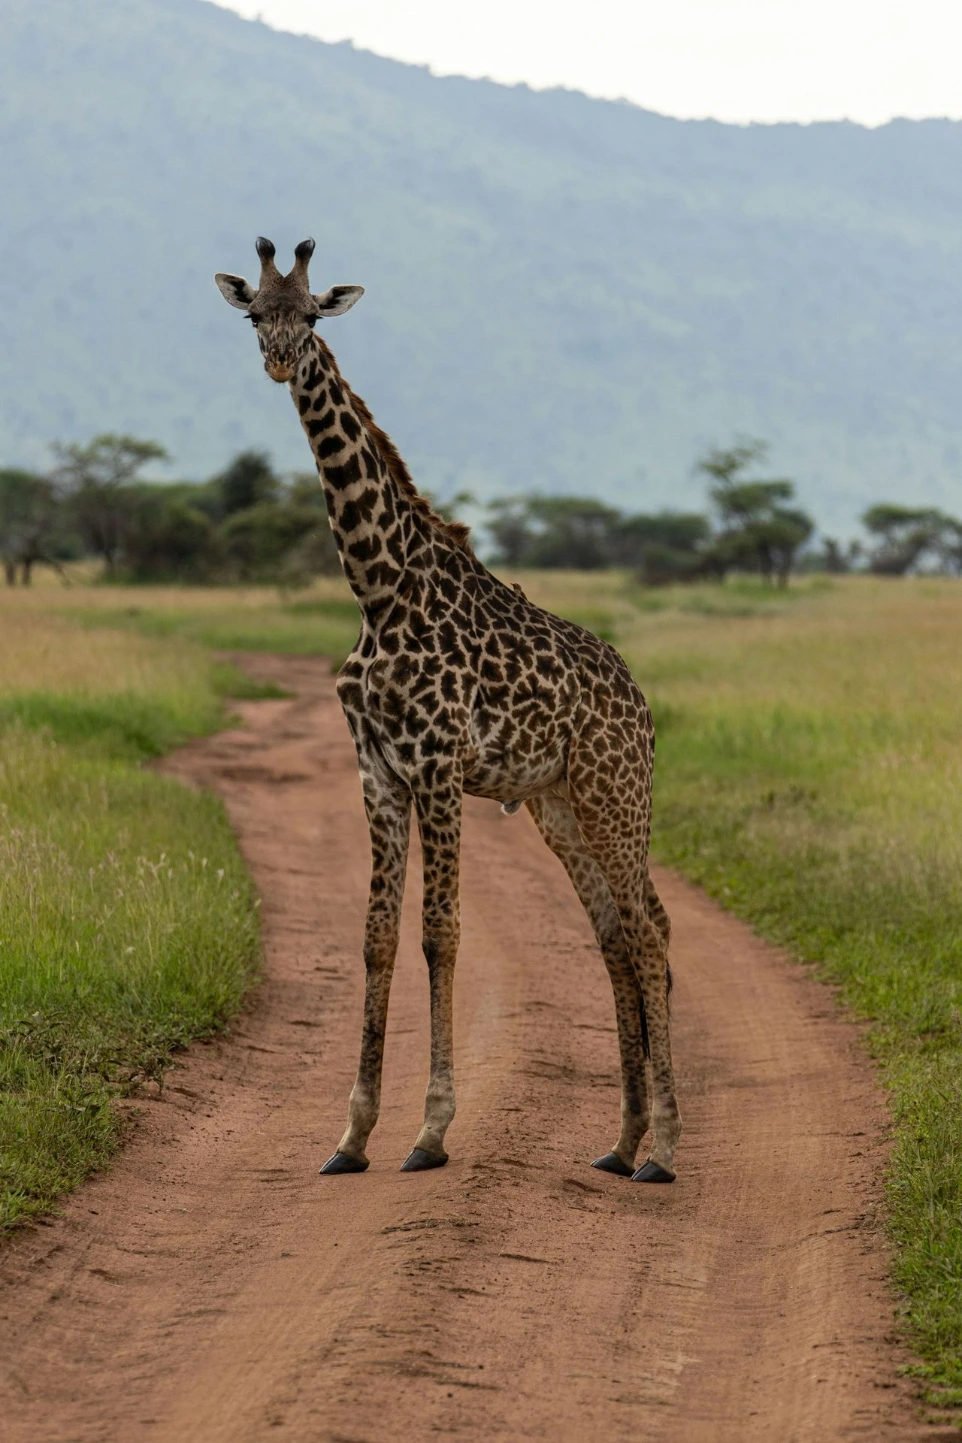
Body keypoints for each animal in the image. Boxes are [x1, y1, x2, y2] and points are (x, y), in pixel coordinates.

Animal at [215, 238, 681, 1183]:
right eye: (254, 316)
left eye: (310, 313)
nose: (279, 361)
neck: (379, 587)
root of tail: (641, 703)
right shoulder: (376, 771)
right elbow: (376, 936)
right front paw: (351, 1136)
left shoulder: (436, 766)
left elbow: (441, 931)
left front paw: (430, 1130)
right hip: (559, 807)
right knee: (616, 933)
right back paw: (620, 1141)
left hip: (616, 794)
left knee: (652, 930)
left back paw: (665, 1147)